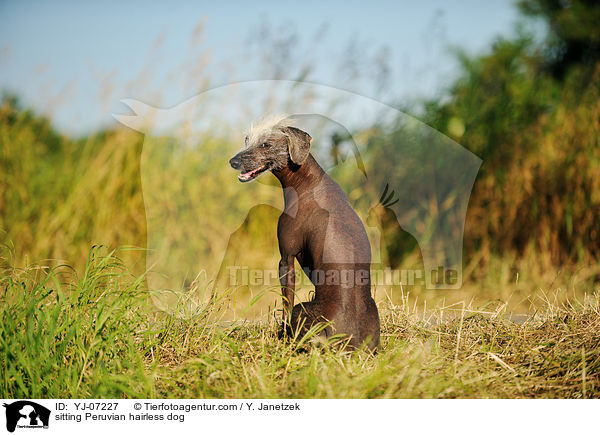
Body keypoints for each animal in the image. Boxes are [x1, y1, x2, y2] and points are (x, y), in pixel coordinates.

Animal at [230, 115, 380, 350]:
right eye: (247, 140)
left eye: (266, 145)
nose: (233, 162)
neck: (308, 183)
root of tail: (349, 343)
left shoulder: (286, 258)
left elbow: (286, 302)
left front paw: (280, 335)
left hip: (302, 310)